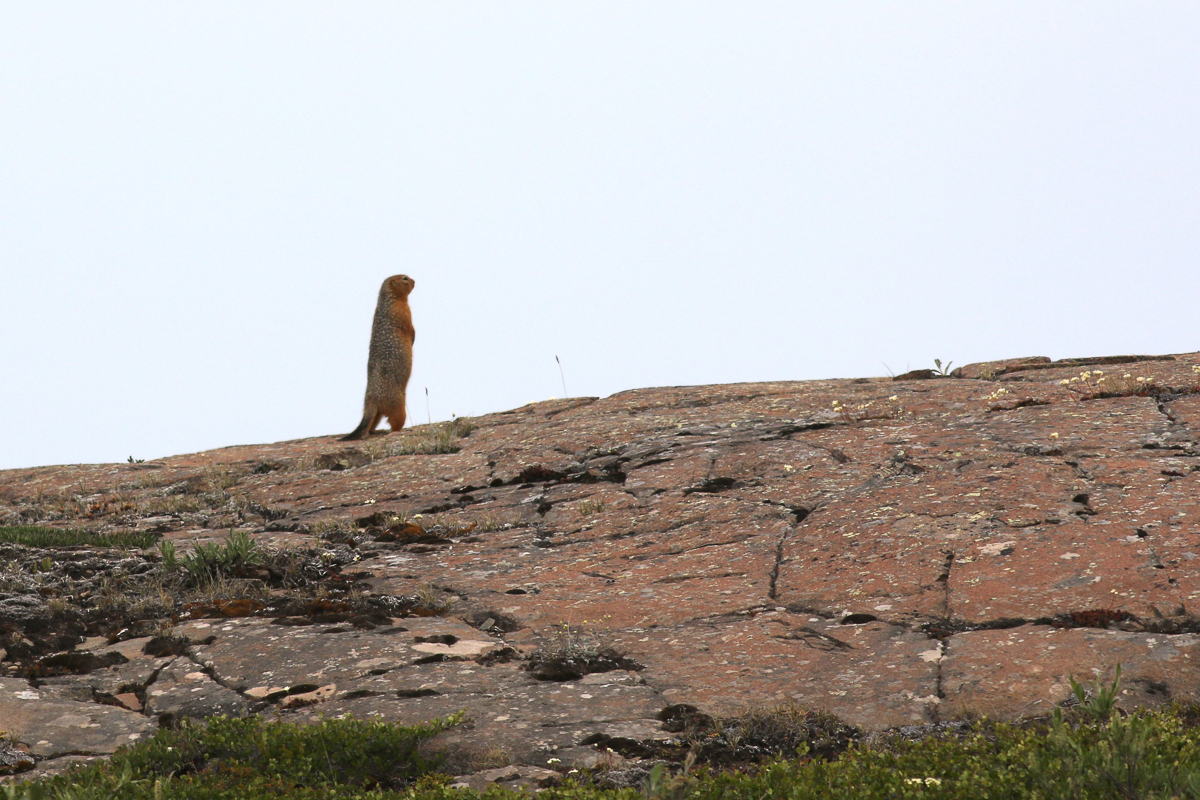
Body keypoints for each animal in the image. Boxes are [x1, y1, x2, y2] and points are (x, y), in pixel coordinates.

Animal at [341, 274, 415, 441]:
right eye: (405, 278)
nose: (415, 281)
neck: (389, 298)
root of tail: (372, 399)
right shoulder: (403, 311)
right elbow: (410, 327)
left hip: (377, 413)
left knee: (370, 425)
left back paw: (373, 431)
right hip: (397, 405)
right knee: (395, 422)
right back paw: (396, 431)